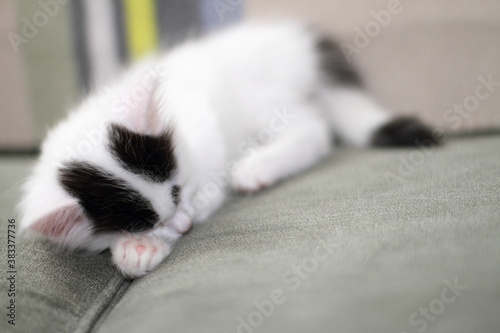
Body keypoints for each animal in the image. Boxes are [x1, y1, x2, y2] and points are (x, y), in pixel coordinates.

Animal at [18, 21, 438, 278]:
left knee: (314, 129)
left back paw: (258, 166)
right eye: (145, 223)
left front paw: (150, 244)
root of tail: (298, 40)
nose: (183, 226)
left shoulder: (201, 124)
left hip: (260, 95)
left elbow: (208, 183)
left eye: (176, 192)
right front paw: (137, 249)